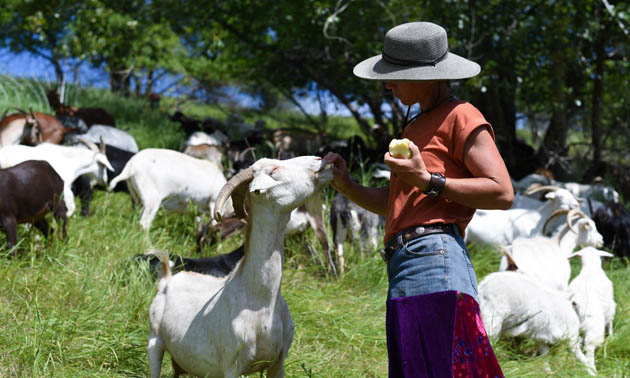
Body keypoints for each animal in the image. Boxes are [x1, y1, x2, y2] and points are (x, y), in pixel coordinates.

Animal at [149, 155, 336, 376]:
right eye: (274, 170)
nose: (319, 158)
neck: (261, 302)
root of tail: (167, 280)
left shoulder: (278, 362)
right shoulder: (233, 367)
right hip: (154, 340)